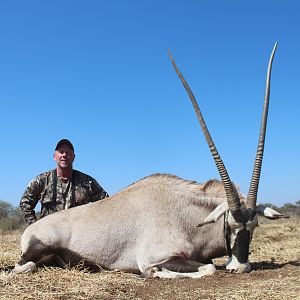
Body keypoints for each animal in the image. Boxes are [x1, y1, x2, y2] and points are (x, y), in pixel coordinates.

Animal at [11, 42, 284, 278]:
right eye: (230, 225)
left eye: (254, 226)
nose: (240, 267)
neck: (185, 216)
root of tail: (31, 229)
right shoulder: (156, 256)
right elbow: (206, 268)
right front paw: (154, 273)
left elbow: (207, 264)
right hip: (35, 251)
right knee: (23, 266)